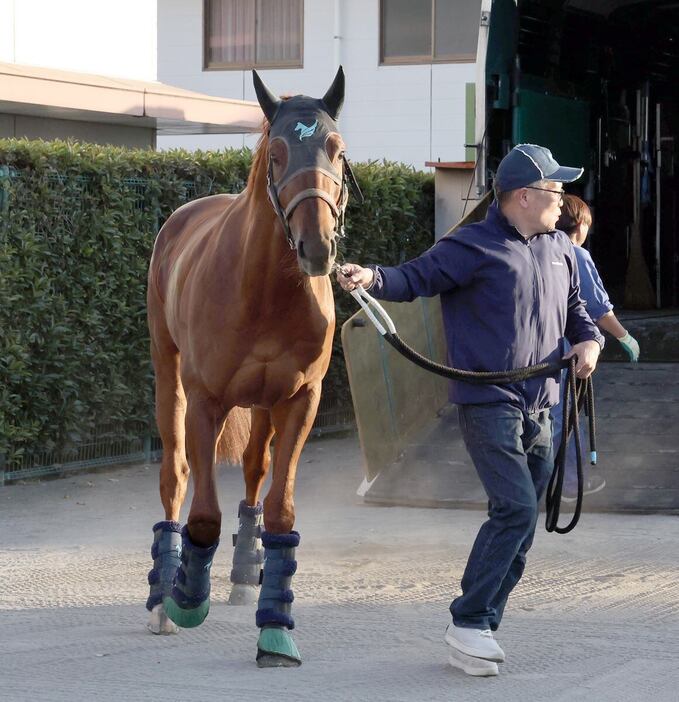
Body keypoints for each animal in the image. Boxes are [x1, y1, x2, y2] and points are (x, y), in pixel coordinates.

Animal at [142, 69, 356, 668]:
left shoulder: (300, 400)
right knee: (175, 475)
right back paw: (162, 600)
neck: (262, 289)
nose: (317, 247)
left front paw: (276, 629)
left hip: (263, 404)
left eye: (337, 149)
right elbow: (203, 515)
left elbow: (280, 509)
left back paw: (241, 577)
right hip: (169, 376)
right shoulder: (205, 400)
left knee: (256, 471)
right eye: (277, 153)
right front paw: (186, 597)